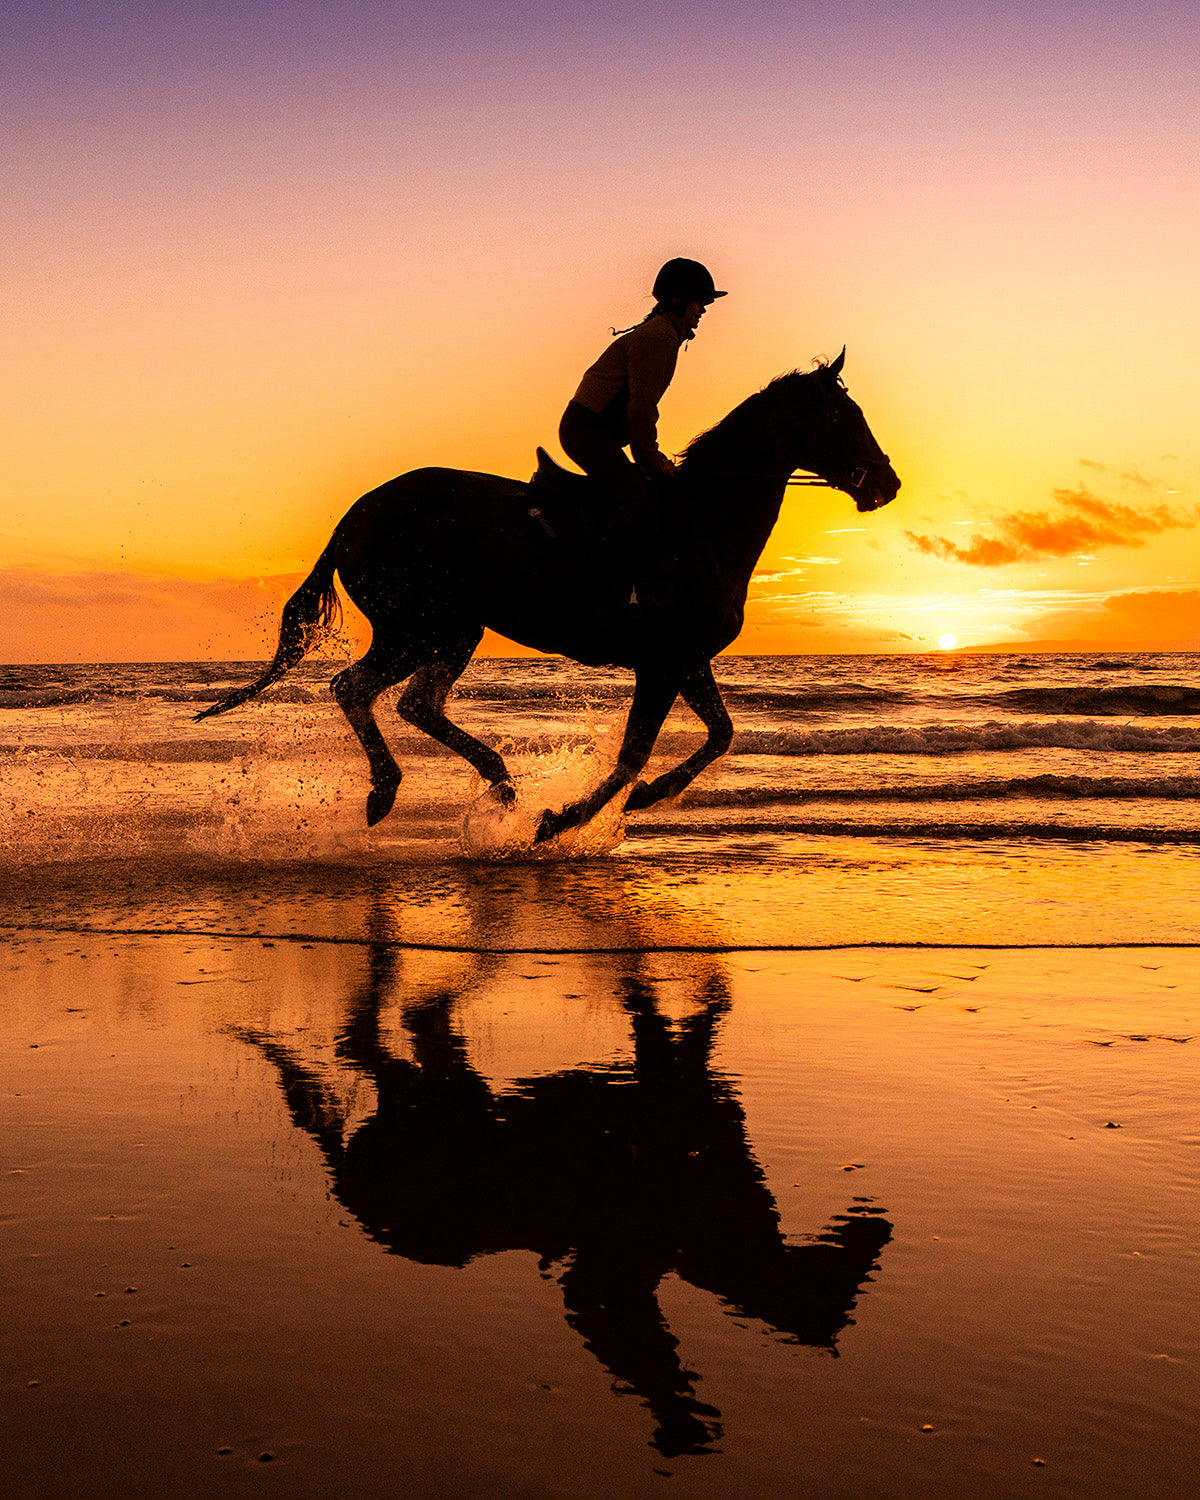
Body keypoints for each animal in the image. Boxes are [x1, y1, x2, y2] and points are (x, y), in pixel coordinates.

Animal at [197, 349, 899, 841]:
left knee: (411, 702)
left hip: (445, 631)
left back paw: (498, 785)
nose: (887, 483)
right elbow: (632, 754)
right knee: (361, 689)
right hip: (426, 626)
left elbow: (720, 735)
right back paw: (393, 790)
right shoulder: (661, 662)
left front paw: (645, 797)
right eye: (843, 418)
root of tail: (353, 517)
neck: (704, 522)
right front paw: (563, 820)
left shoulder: (688, 661)